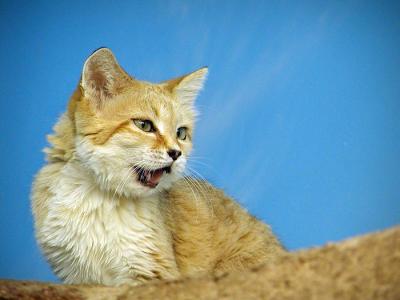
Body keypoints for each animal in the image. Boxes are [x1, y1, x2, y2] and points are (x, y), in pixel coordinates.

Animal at [31, 48, 284, 286]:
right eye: (144, 125)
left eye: (181, 133)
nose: (176, 153)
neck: (99, 196)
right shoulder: (77, 275)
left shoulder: (149, 273)